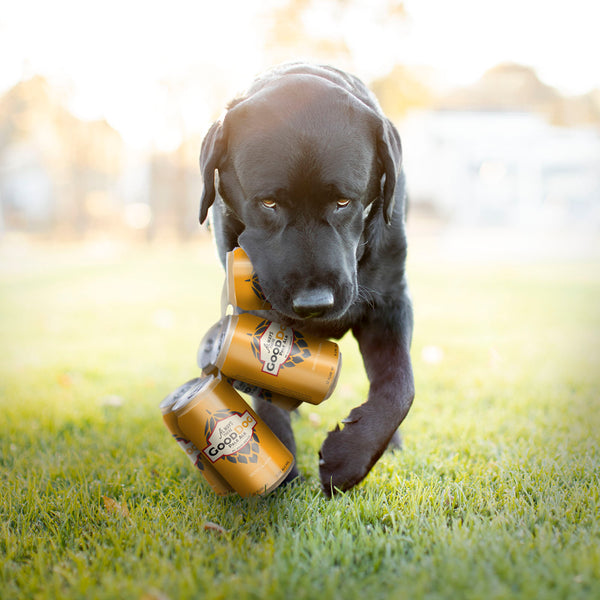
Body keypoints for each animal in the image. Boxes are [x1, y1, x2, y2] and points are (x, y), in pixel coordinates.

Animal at [199, 62, 414, 496]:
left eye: (343, 201)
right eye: (268, 203)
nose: (315, 303)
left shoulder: (391, 302)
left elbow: (400, 387)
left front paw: (349, 459)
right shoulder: (255, 312)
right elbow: (264, 383)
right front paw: (280, 469)